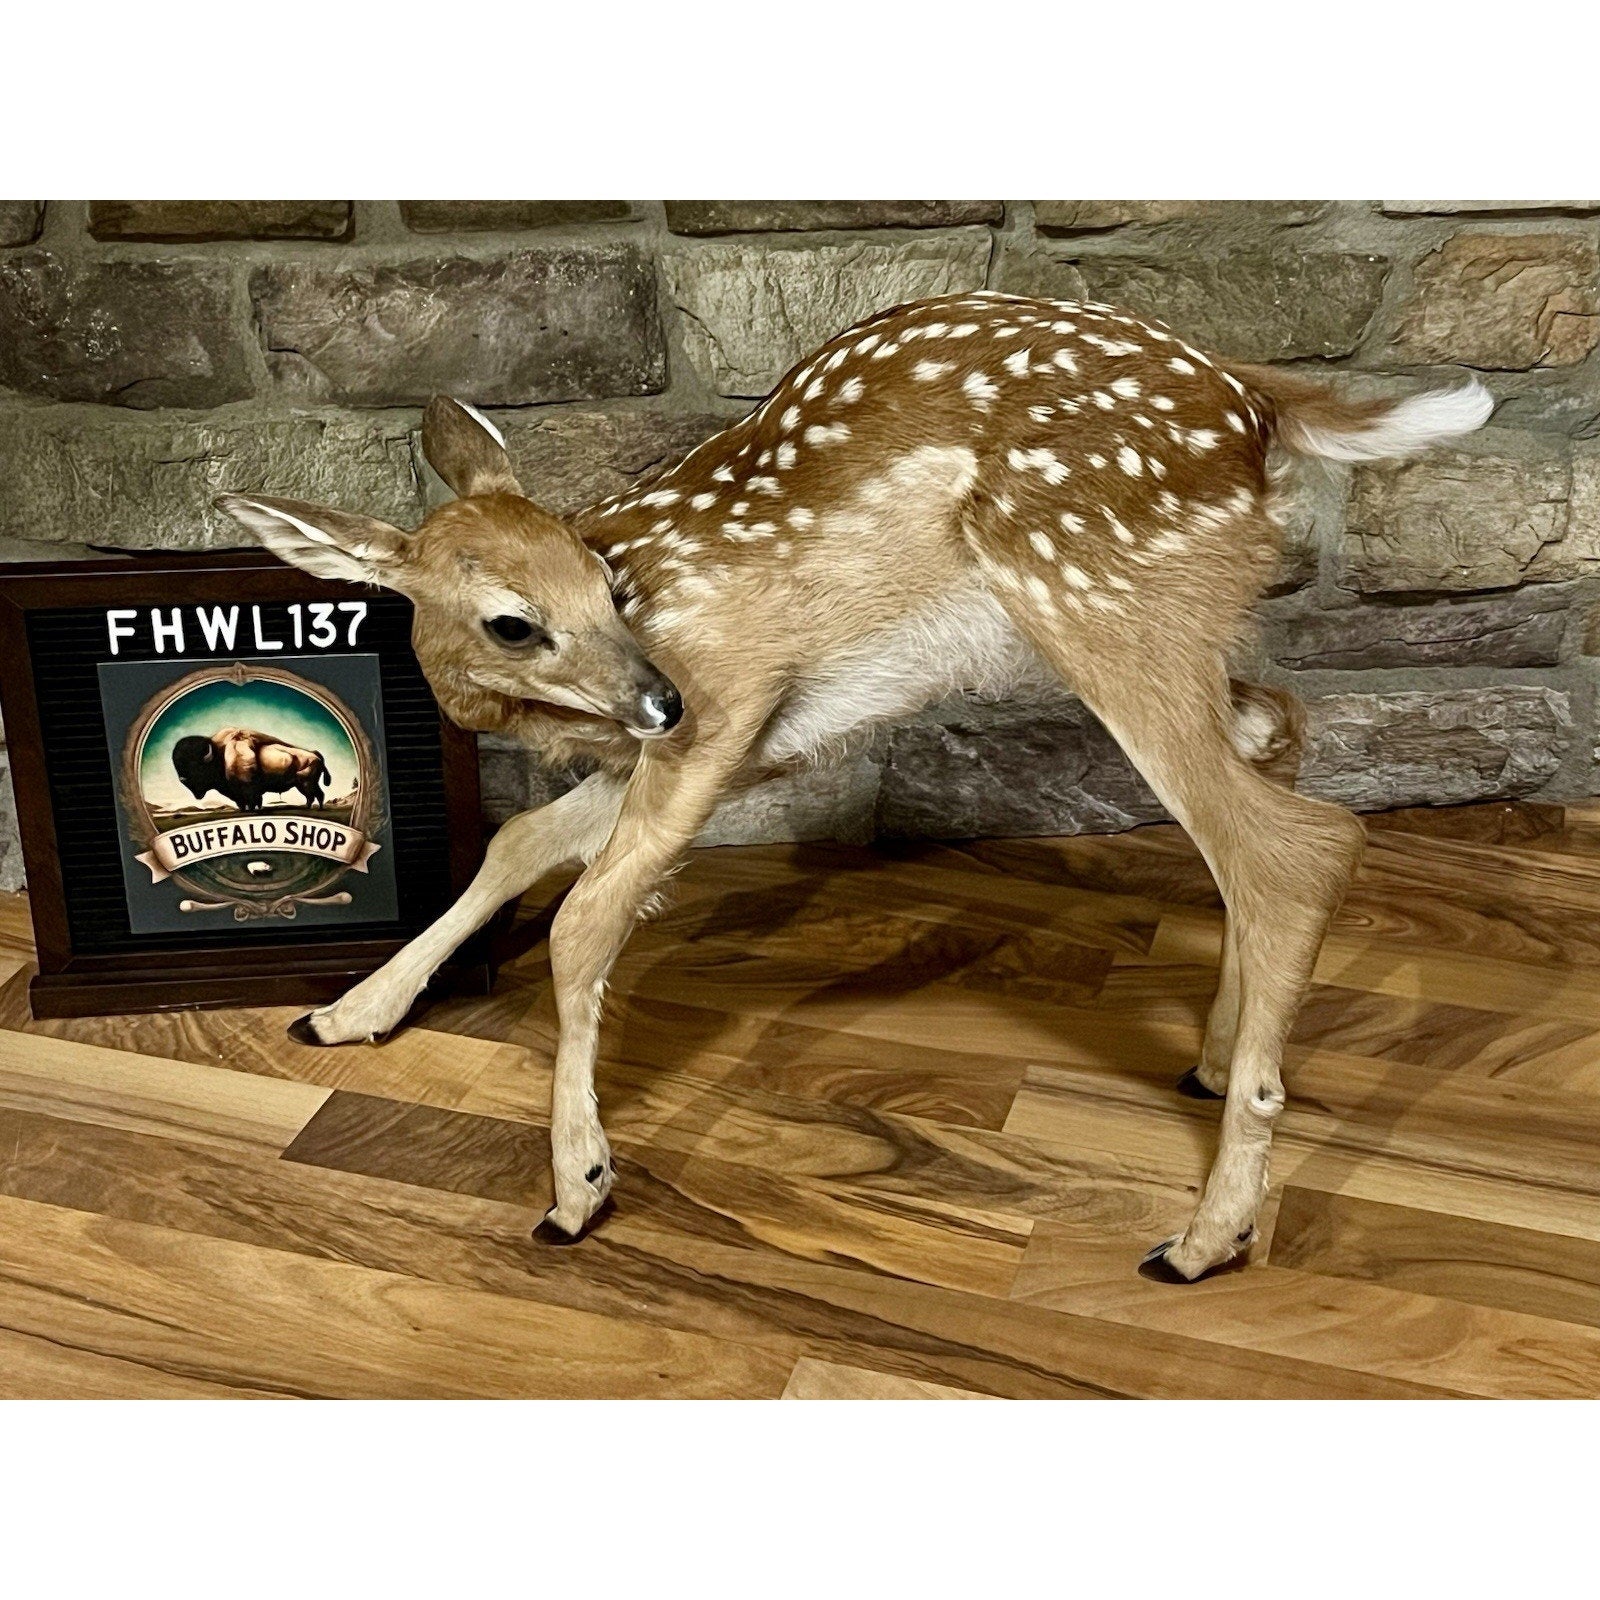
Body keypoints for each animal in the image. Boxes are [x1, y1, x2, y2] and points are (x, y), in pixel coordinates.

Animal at [216, 289, 1492, 1281]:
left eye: (603, 584)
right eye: (512, 621)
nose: (655, 696)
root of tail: (1257, 403)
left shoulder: (732, 705)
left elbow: (582, 923)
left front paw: (579, 1181)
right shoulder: (719, 748)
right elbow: (518, 839)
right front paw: (348, 1010)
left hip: (1100, 595)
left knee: (1296, 846)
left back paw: (1203, 1236)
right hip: (1177, 622)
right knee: (1280, 735)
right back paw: (1220, 1059)